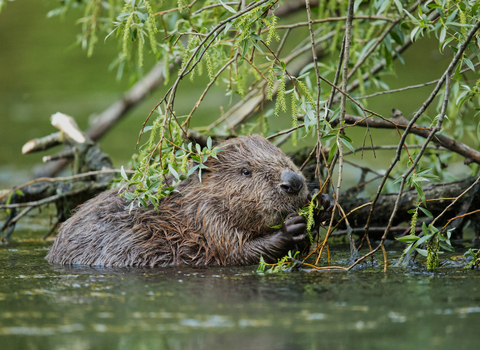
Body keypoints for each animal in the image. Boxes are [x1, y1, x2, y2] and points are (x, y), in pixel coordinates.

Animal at [46, 135, 330, 266]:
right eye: (245, 171)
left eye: (283, 156)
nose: (293, 182)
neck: (187, 209)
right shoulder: (209, 221)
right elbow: (237, 253)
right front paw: (290, 228)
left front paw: (324, 203)